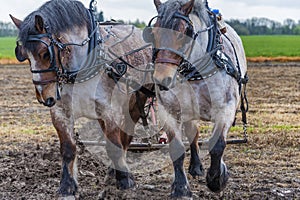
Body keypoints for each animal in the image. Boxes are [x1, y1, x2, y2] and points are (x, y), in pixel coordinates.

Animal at [10, 0, 154, 197]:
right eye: (23, 55)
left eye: (45, 53)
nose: (43, 97)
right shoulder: (61, 112)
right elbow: (68, 148)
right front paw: (67, 186)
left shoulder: (110, 110)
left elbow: (114, 145)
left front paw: (125, 180)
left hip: (135, 102)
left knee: (125, 137)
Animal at [144, 0, 247, 198]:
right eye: (153, 33)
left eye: (185, 33)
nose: (161, 79)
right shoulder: (169, 111)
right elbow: (177, 148)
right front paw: (180, 188)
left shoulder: (226, 109)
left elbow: (217, 145)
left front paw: (217, 179)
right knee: (193, 133)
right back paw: (196, 166)